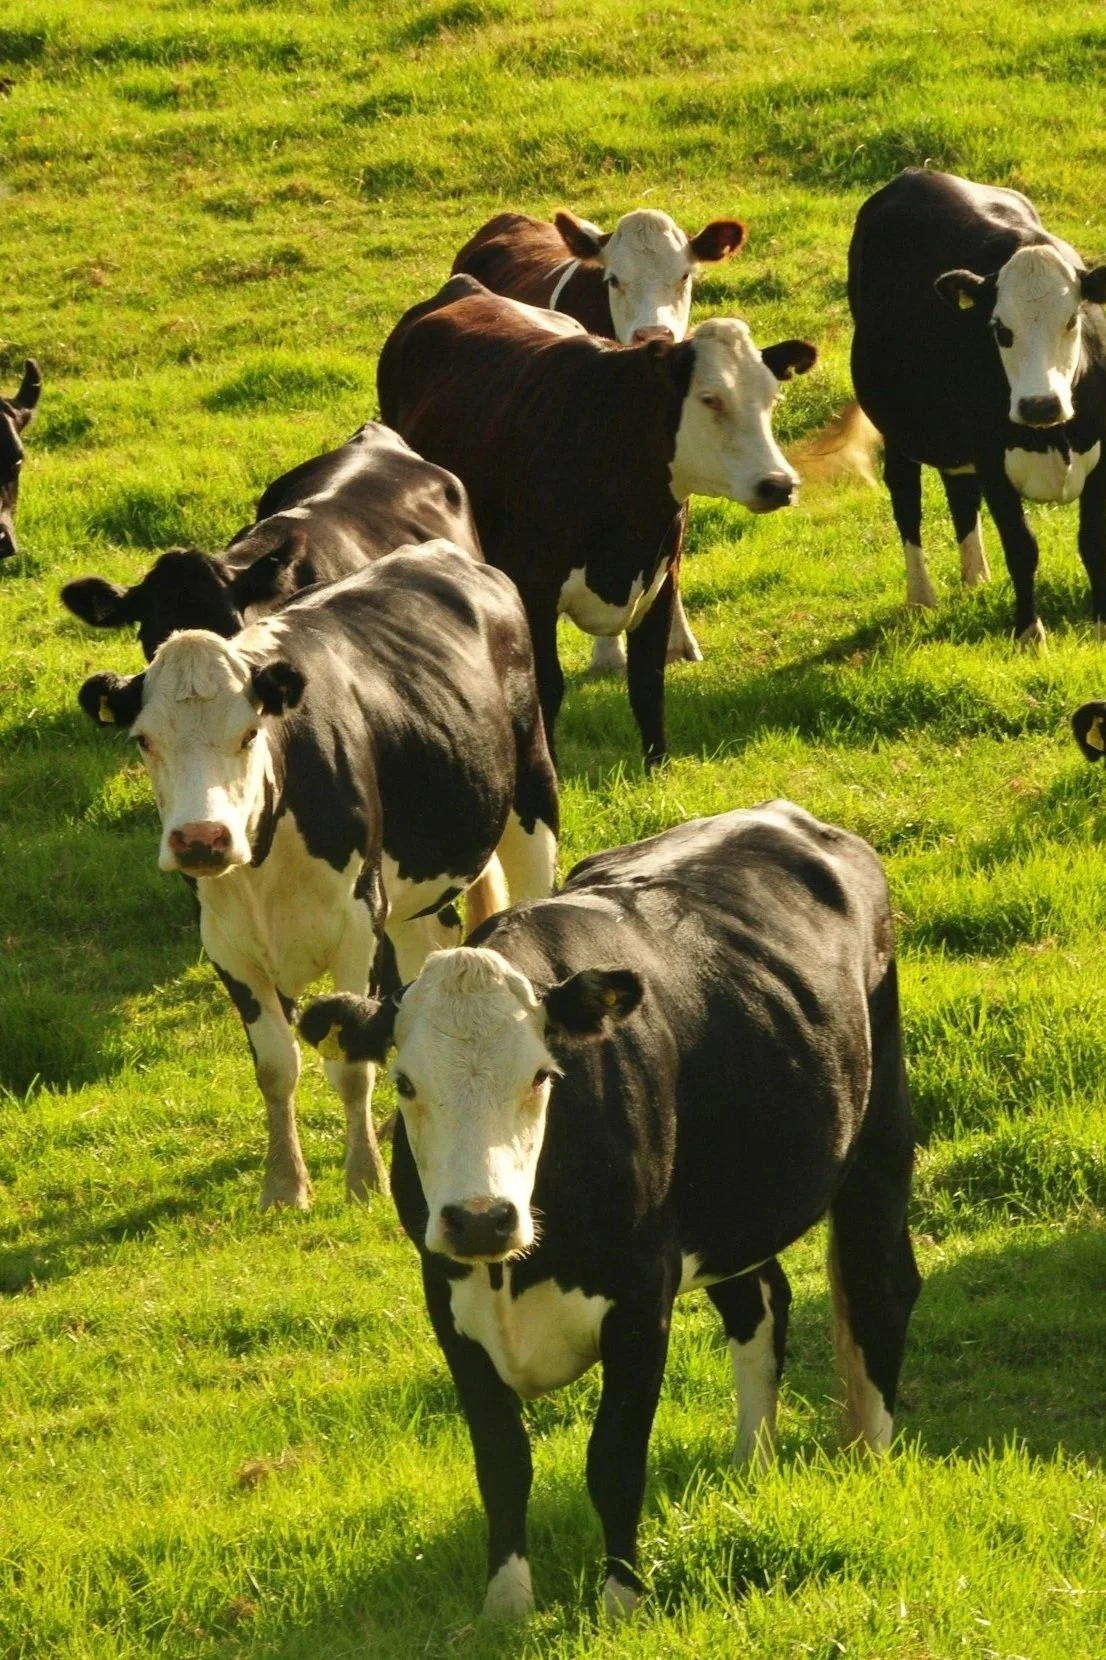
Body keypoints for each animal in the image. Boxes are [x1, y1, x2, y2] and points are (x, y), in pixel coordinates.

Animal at [77, 545, 558, 1212]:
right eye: (144, 740)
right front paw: (284, 1183)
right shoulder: (228, 945)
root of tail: (440, 553)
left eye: (249, 733)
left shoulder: (357, 927)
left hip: (531, 799)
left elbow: (350, 1064)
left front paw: (364, 1178)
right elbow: (276, 1067)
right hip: (411, 892)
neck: (262, 864)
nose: (200, 838)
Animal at [300, 802, 920, 1621]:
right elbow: (502, 1463)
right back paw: (750, 1466)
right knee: (761, 1305)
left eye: (542, 1075)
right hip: (731, 1206)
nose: (481, 1218)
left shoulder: (640, 1298)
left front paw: (622, 1599)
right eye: (404, 1083)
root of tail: (787, 815)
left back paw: (871, 1456)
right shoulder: (448, 1300)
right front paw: (505, 1607)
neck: (516, 1274)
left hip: (878, 1137)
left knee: (880, 1285)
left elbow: (614, 1458)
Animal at [378, 275, 816, 768]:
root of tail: (464, 286)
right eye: (710, 398)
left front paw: (657, 770)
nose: (778, 484)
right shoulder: (534, 590)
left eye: (772, 398)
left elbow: (647, 684)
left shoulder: (661, 580)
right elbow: (547, 687)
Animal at [849, 168, 1106, 646]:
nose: (1040, 404)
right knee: (906, 498)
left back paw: (975, 578)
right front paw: (1029, 634)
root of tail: (917, 172)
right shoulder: (991, 461)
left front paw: (1101, 624)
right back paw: (922, 597)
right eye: (1000, 328)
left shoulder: (1102, 456)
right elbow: (1021, 547)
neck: (1052, 436)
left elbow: (1092, 540)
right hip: (896, 429)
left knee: (960, 491)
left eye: (1072, 320)